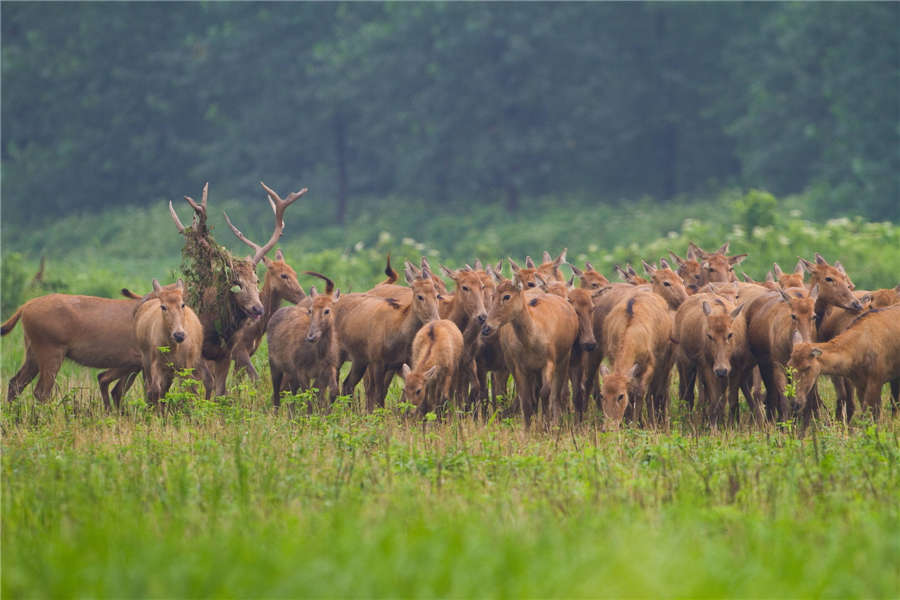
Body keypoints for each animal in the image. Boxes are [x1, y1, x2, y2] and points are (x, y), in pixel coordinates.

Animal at [133, 278, 207, 406]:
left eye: (182, 304)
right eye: (163, 307)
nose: (179, 335)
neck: (174, 347)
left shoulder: (186, 366)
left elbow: (188, 392)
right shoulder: (156, 363)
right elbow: (155, 390)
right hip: (147, 361)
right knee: (150, 388)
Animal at [171, 180, 308, 396]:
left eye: (256, 280)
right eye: (236, 283)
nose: (257, 308)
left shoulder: (228, 354)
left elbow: (223, 390)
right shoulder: (221, 352)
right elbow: (210, 383)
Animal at [268, 272, 342, 408]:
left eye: (327, 310)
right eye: (310, 310)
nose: (311, 337)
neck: (319, 355)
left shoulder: (329, 368)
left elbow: (332, 393)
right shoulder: (301, 370)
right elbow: (308, 398)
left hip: (291, 373)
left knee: (290, 393)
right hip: (275, 365)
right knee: (277, 395)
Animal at [334, 264, 440, 410]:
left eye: (437, 295)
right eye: (420, 296)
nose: (435, 320)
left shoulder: (405, 362)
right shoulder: (378, 362)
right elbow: (378, 395)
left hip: (359, 359)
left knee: (347, 385)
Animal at [482, 268, 580, 426]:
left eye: (506, 296)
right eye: (493, 296)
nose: (486, 328)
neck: (533, 340)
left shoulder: (549, 362)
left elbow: (545, 394)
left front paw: (547, 425)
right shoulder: (520, 367)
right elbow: (526, 401)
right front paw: (528, 429)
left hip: (564, 359)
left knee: (555, 395)